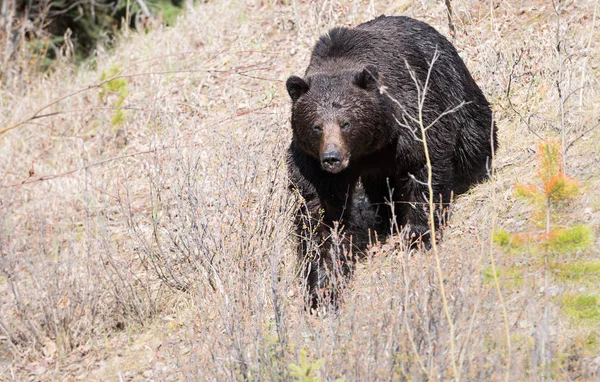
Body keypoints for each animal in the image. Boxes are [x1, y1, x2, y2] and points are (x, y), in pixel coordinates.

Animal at [286, 14, 496, 308]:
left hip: (453, 87)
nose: (332, 158)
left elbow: (425, 165)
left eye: (346, 123)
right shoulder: (313, 167)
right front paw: (321, 288)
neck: (370, 146)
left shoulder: (410, 117)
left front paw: (417, 236)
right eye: (316, 126)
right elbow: (322, 219)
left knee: (473, 138)